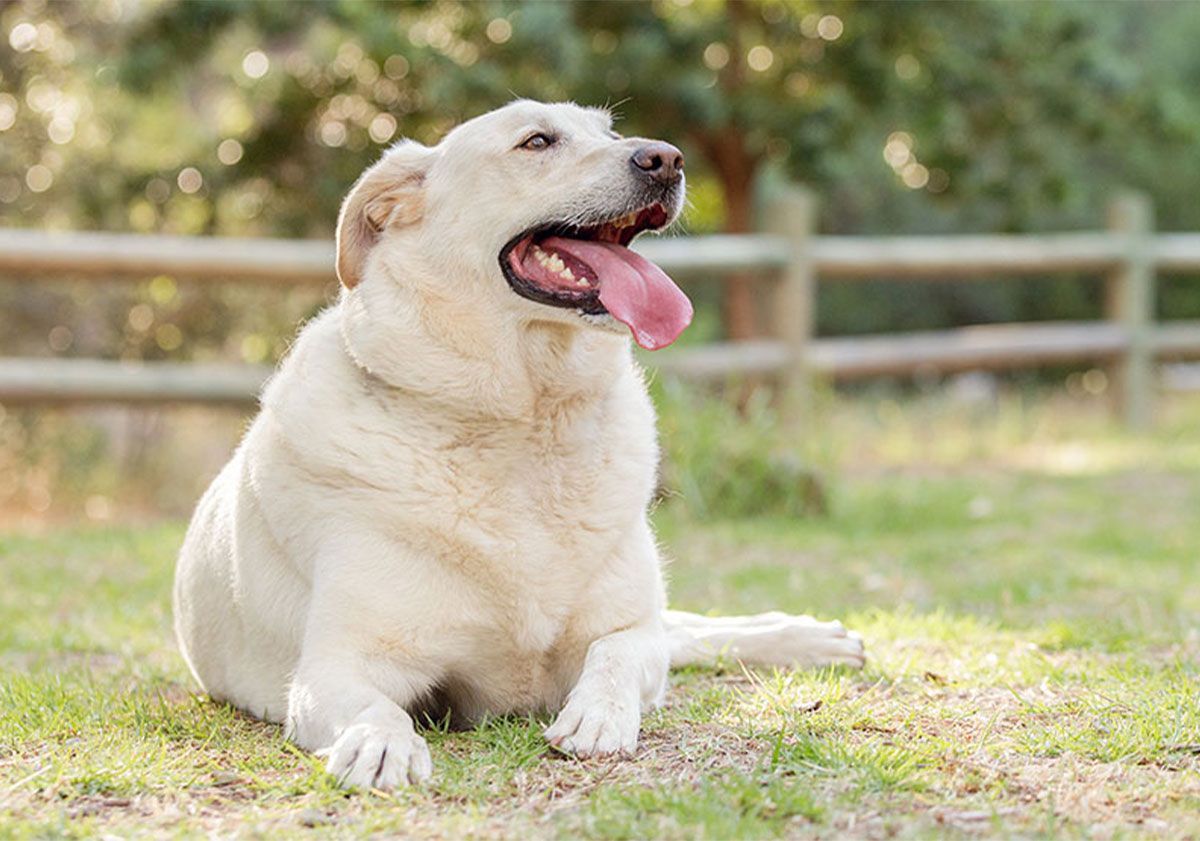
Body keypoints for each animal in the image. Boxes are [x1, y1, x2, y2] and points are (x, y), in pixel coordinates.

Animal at [174, 101, 864, 791]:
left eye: (611, 133)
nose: (667, 158)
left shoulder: (622, 628)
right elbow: (375, 708)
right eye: (536, 142)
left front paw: (598, 716)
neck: (528, 424)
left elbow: (618, 652)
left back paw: (808, 637)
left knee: (683, 629)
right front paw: (379, 744)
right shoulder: (338, 665)